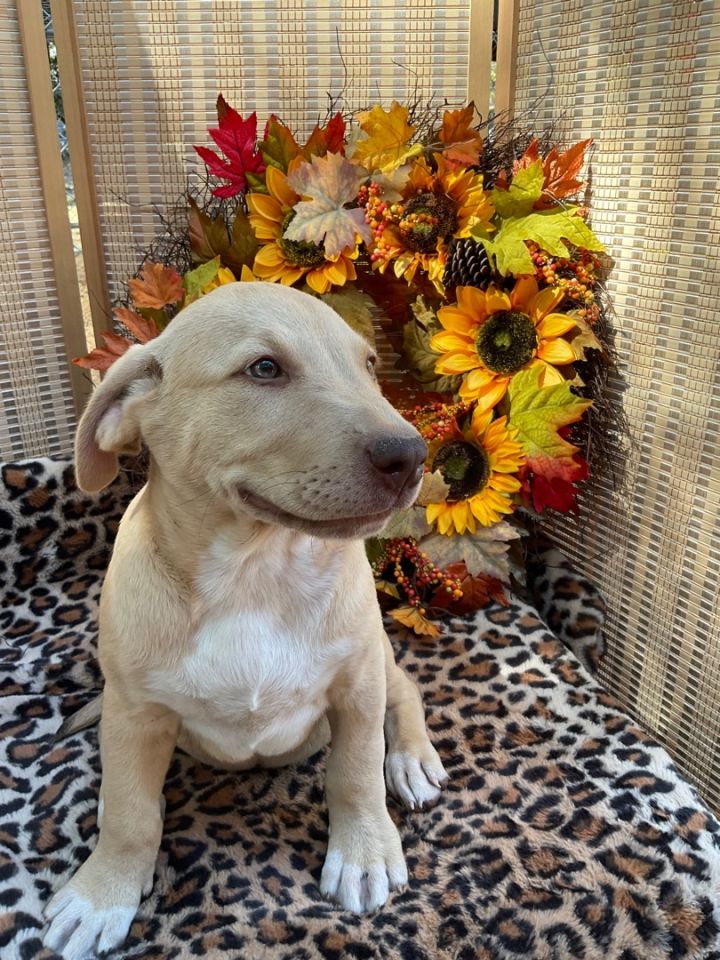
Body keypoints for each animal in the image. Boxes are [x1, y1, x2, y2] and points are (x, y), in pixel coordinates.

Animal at [43, 282, 444, 956]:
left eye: (368, 366)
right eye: (264, 369)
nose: (412, 455)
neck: (254, 575)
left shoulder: (357, 682)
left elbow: (355, 770)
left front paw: (364, 851)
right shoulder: (133, 712)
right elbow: (129, 811)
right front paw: (104, 891)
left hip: (379, 655)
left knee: (406, 690)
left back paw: (411, 758)